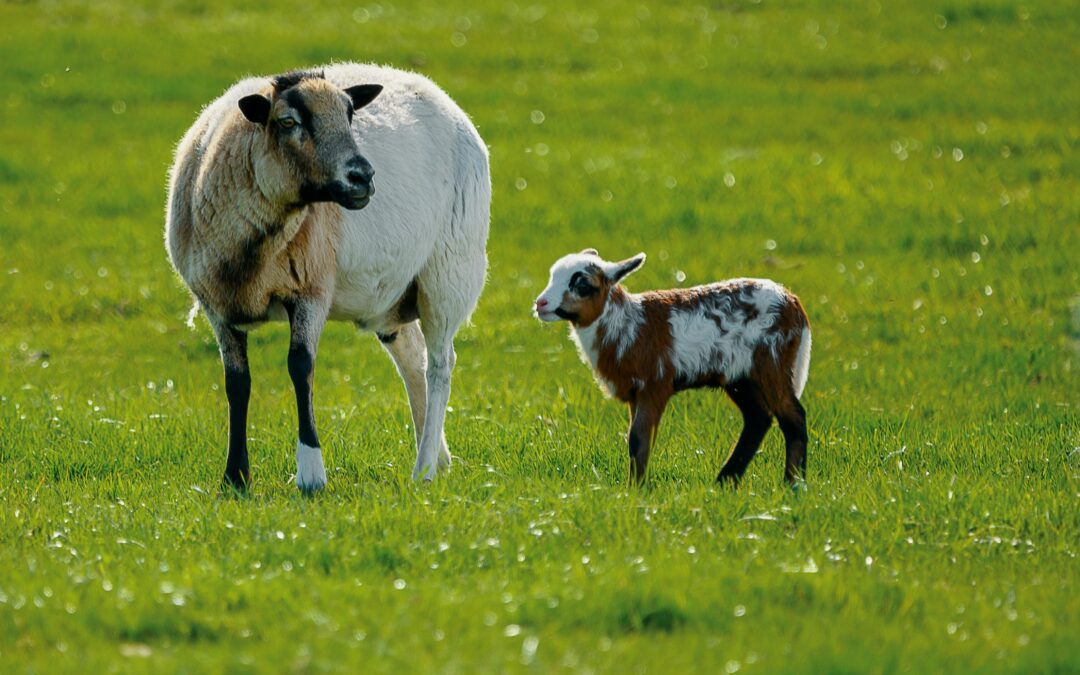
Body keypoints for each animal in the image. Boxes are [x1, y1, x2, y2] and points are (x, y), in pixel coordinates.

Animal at [164, 63, 490, 492]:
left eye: (350, 115)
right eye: (288, 122)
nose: (363, 177)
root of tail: (442, 97)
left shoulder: (311, 289)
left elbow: (300, 366)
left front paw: (311, 474)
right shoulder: (216, 305)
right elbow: (237, 383)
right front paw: (235, 477)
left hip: (449, 272)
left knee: (440, 366)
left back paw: (423, 470)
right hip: (395, 294)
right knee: (413, 358)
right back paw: (436, 456)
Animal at [531, 247, 812, 483]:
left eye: (581, 284)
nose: (540, 304)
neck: (627, 323)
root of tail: (794, 303)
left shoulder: (654, 385)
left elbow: (638, 438)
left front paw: (636, 491)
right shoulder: (635, 393)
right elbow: (636, 439)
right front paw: (635, 486)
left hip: (773, 362)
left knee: (793, 418)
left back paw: (792, 485)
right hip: (740, 376)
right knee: (758, 418)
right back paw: (725, 482)